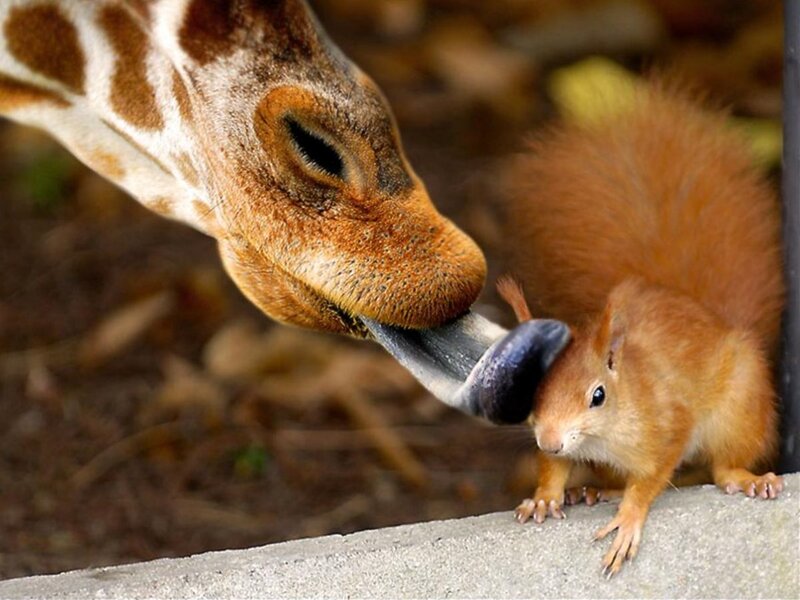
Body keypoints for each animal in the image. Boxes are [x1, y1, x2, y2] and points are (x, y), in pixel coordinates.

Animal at [497, 80, 785, 577]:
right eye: (530, 387)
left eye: (598, 396)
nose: (551, 440)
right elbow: (551, 468)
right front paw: (544, 497)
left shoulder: (668, 425)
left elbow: (652, 478)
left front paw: (628, 517)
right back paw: (597, 489)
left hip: (740, 411)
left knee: (724, 466)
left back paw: (747, 480)